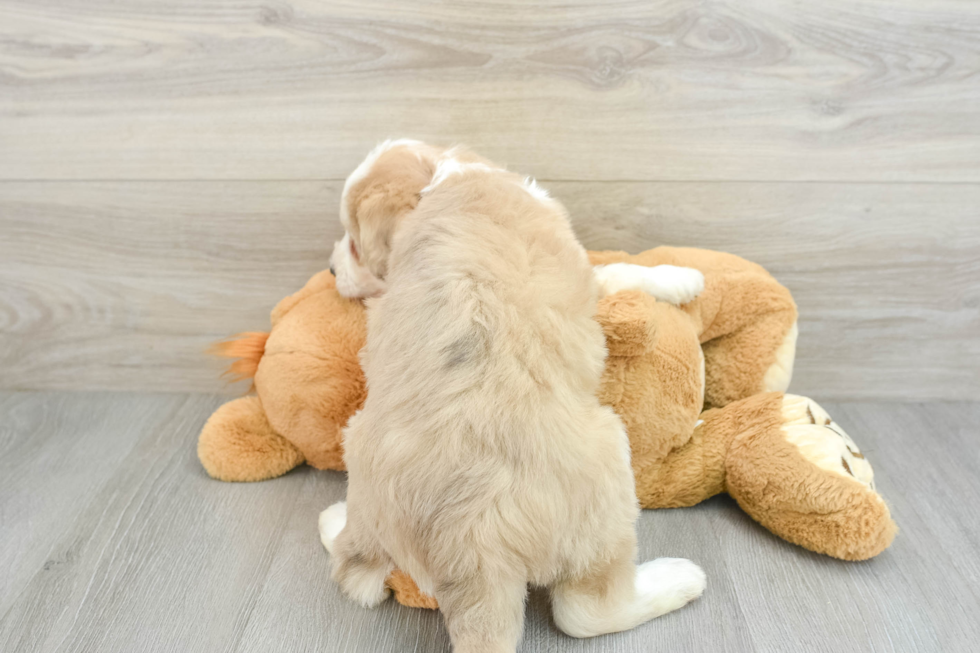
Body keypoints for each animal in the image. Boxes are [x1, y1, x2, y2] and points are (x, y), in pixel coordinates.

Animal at [322, 140, 704, 648]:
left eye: (353, 243)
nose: (330, 270)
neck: (440, 180)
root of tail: (473, 555)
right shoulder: (584, 270)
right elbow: (621, 270)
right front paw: (685, 278)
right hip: (607, 476)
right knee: (586, 611)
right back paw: (678, 579)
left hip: (360, 455)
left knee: (355, 564)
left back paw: (333, 520)